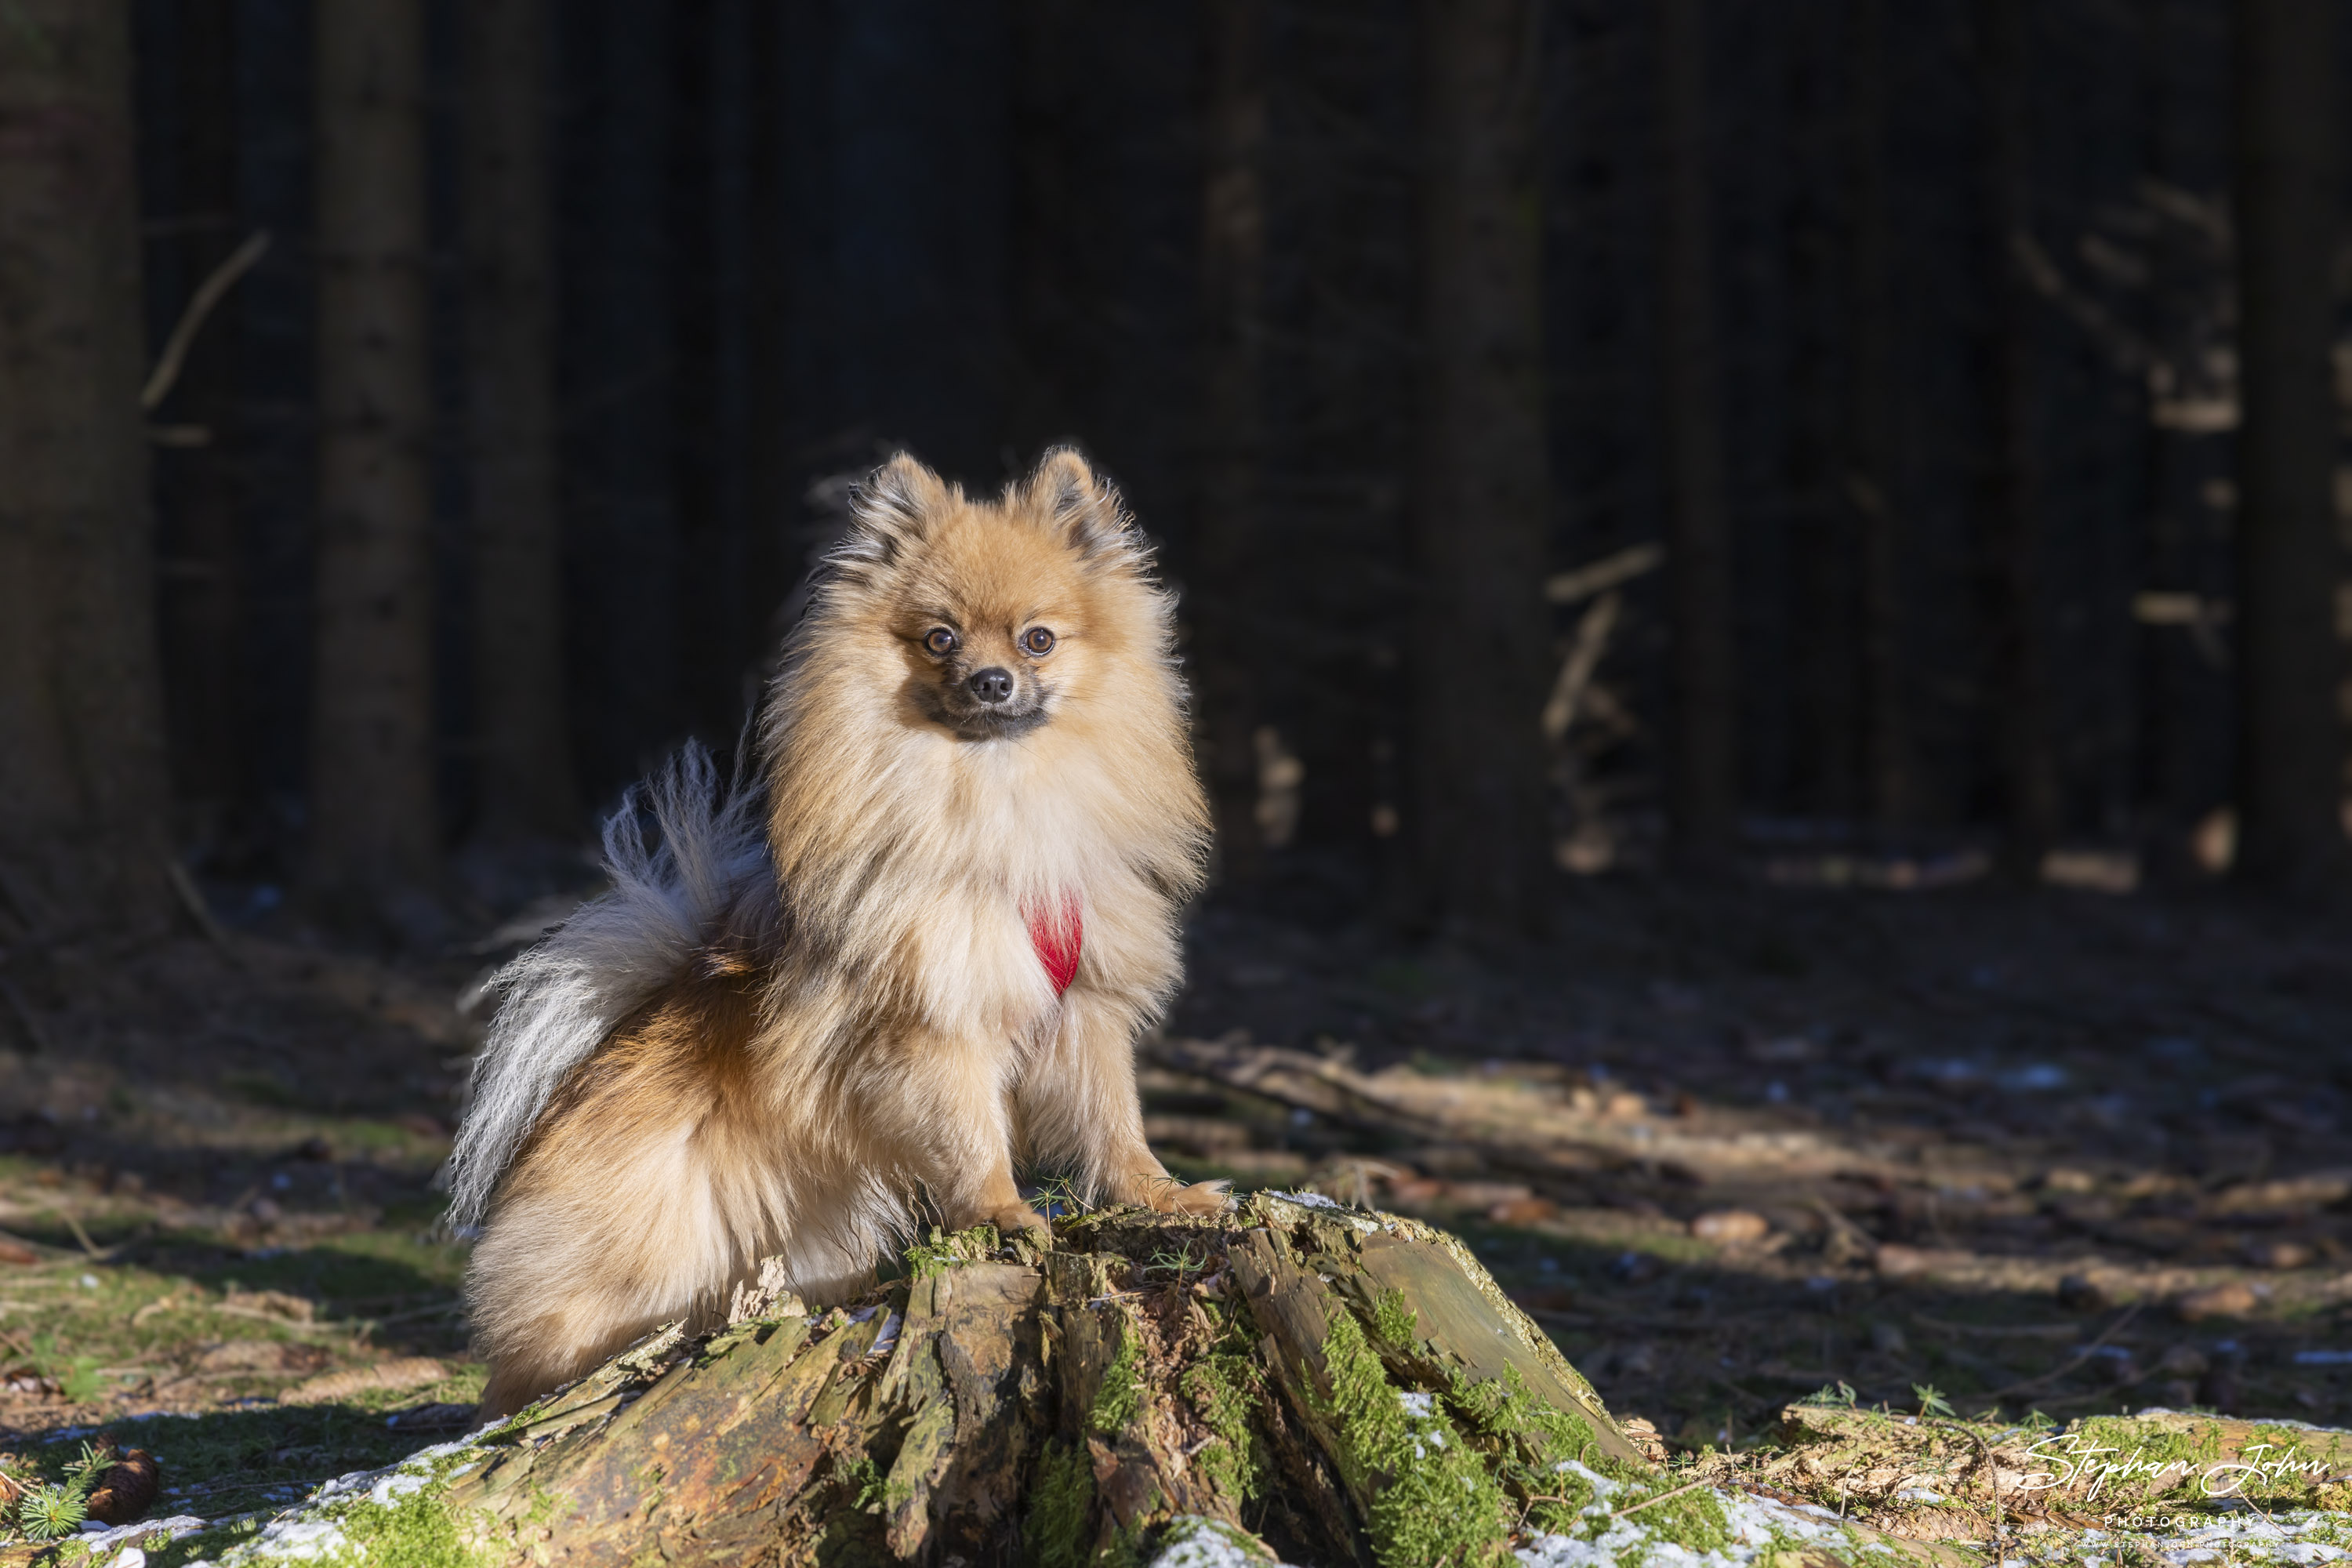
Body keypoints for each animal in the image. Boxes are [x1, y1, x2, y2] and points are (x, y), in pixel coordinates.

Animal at [449, 446, 1242, 1420]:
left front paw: (1164, 1194)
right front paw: (1003, 1212)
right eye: (940, 638)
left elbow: (1114, 1120)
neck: (1000, 803)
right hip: (644, 1247)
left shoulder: (1083, 1005)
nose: (990, 681)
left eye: (1037, 639)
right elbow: (974, 1134)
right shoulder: (932, 1023)